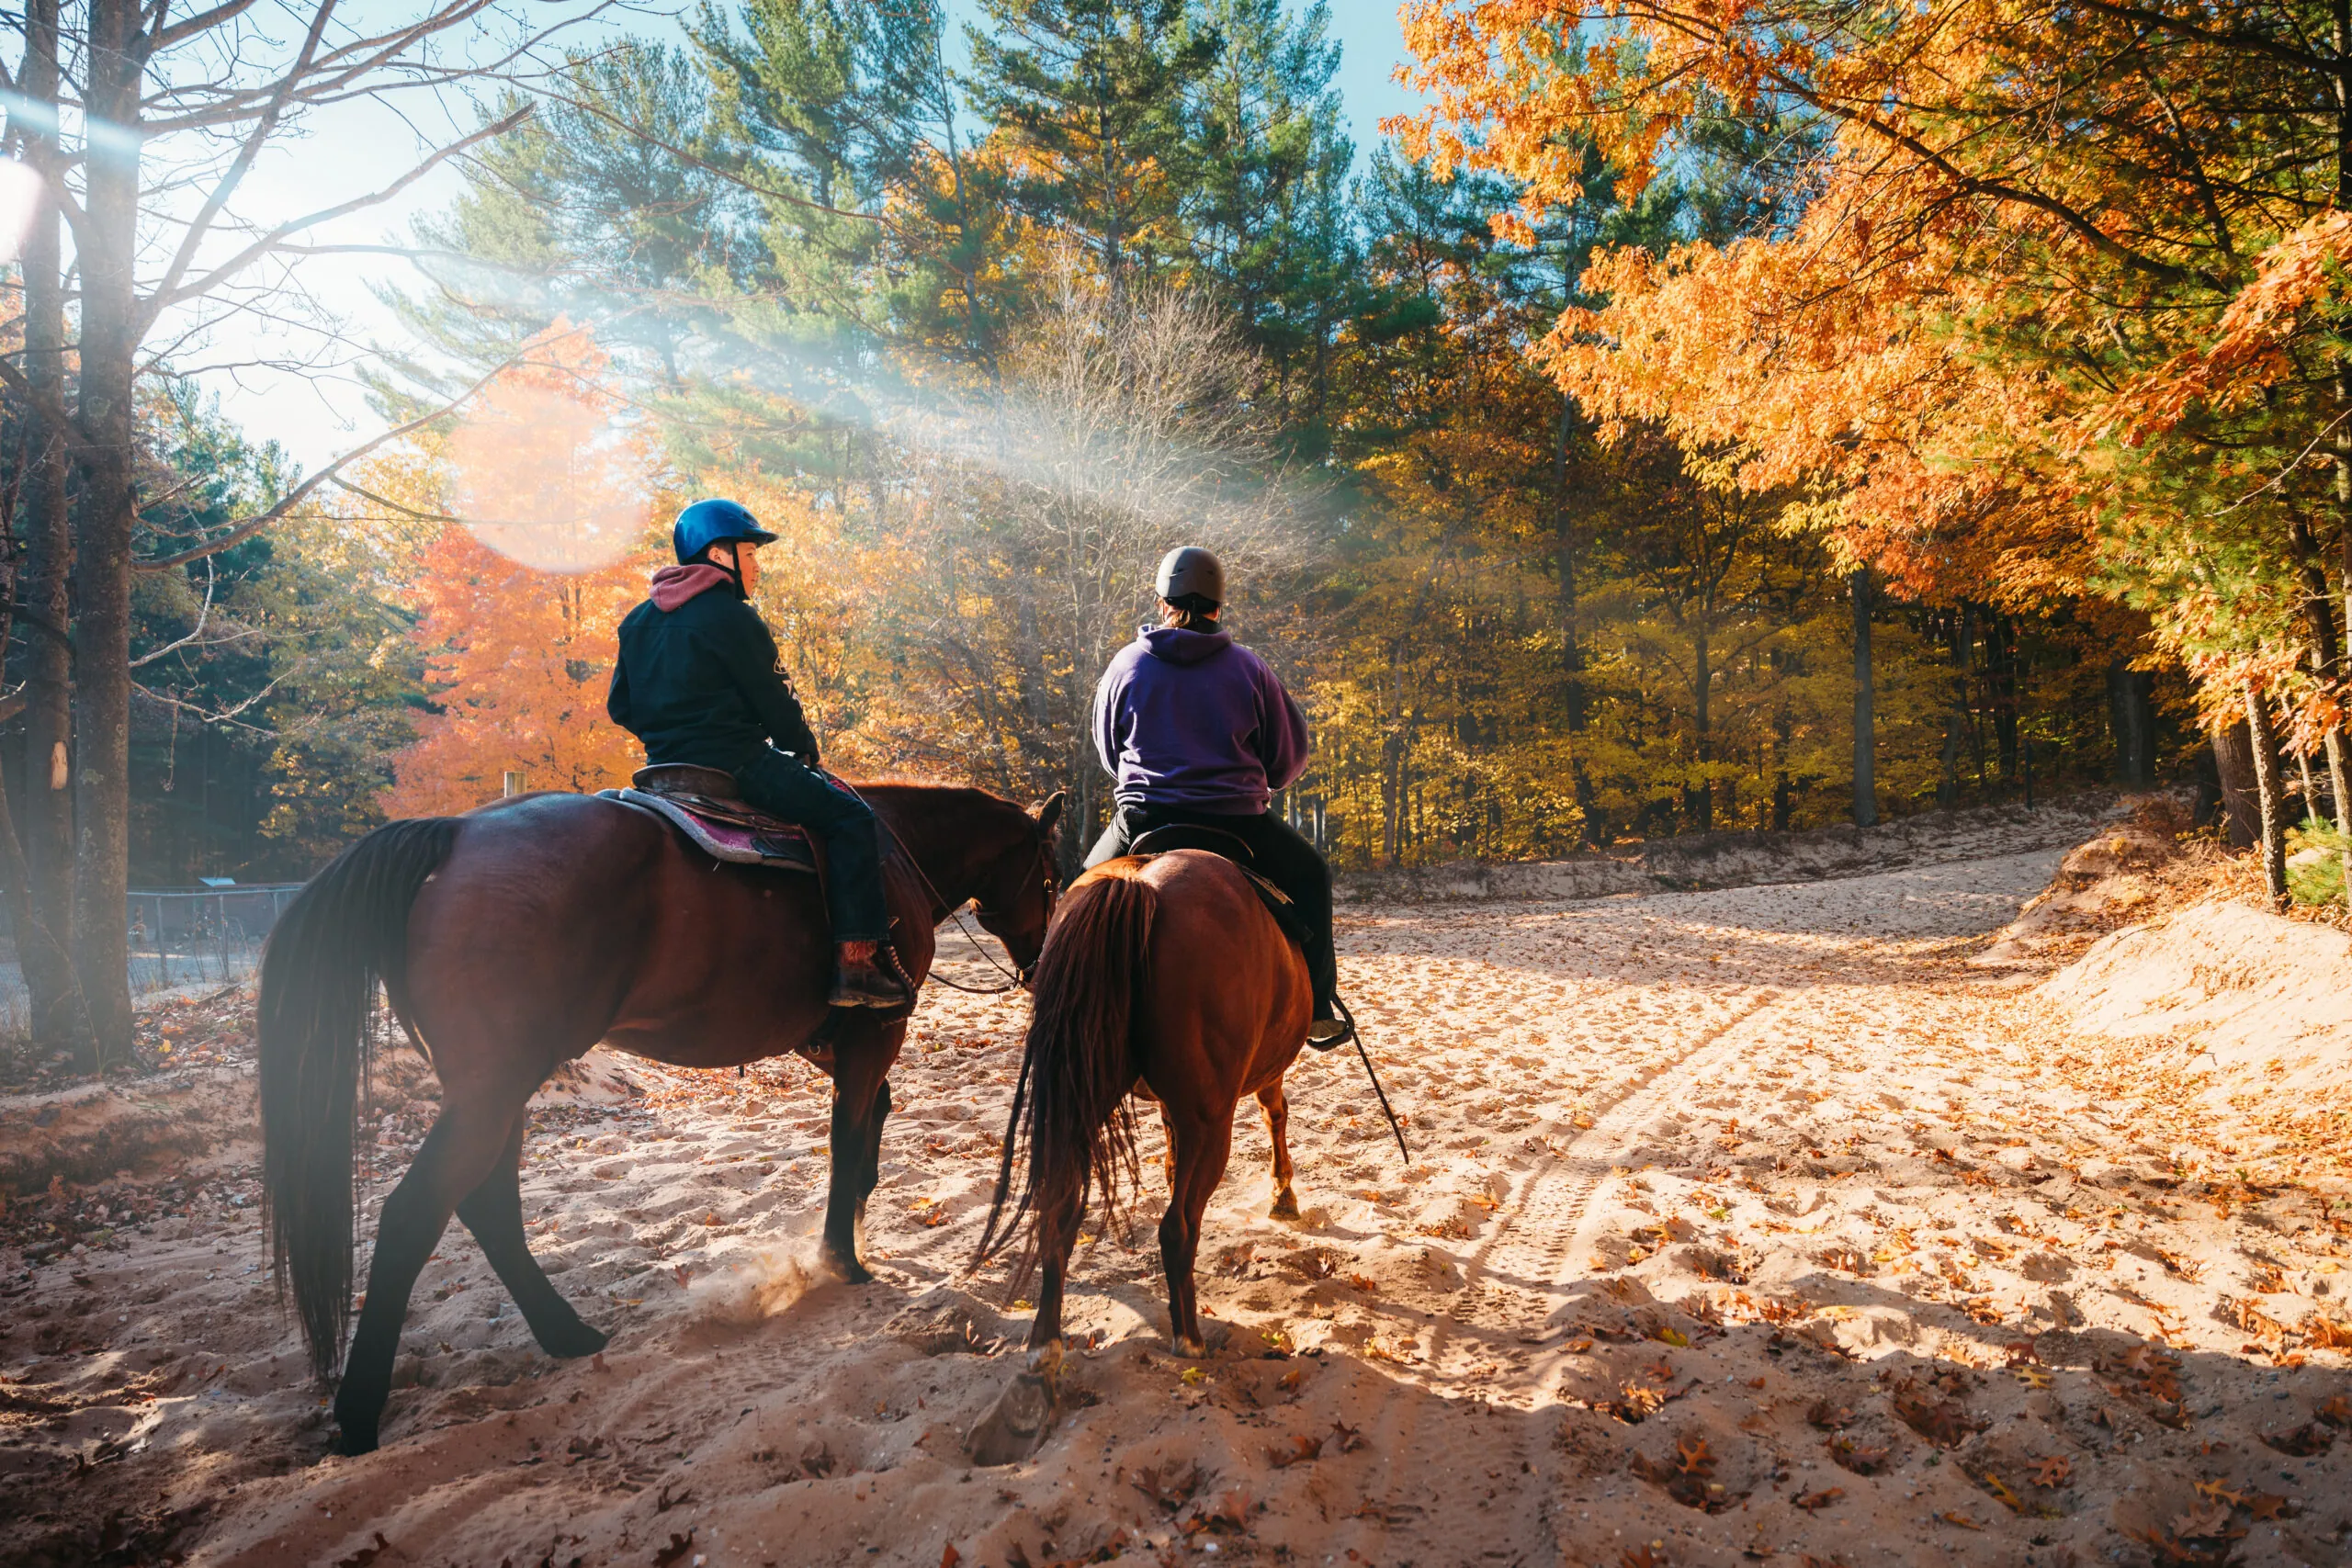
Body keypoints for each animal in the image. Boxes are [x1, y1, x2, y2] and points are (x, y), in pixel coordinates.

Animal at [262, 784, 1063, 1457]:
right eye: (1051, 875)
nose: (1042, 962)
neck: (895, 846)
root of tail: (454, 834)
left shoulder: (842, 1048)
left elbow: (870, 1125)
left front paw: (856, 1225)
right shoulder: (875, 1033)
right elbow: (848, 1136)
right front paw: (843, 1257)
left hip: (496, 1091)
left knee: (488, 1206)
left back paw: (566, 1333)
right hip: (493, 1089)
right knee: (414, 1214)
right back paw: (360, 1413)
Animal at [968, 846, 1307, 1372]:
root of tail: (1137, 883)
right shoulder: (1255, 1078)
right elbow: (1276, 1112)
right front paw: (1283, 1194)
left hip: (1080, 1103)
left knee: (1059, 1214)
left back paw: (1045, 1344)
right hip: (1210, 1123)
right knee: (1178, 1228)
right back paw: (1189, 1338)